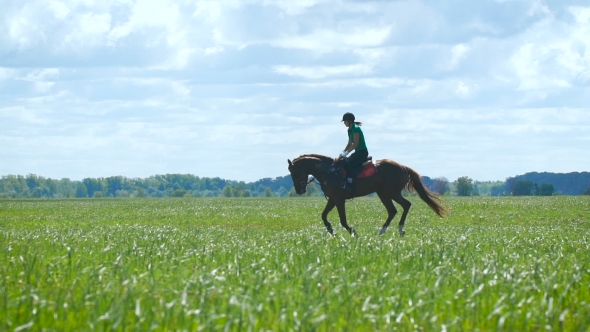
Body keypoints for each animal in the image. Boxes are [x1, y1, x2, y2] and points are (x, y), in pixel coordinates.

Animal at [288, 155, 448, 236]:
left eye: (295, 172)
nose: (299, 190)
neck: (328, 171)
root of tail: (403, 167)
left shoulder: (339, 200)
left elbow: (343, 221)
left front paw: (354, 234)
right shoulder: (333, 199)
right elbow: (324, 216)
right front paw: (332, 232)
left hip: (390, 192)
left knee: (404, 206)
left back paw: (398, 230)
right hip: (384, 193)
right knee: (394, 210)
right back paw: (384, 232)